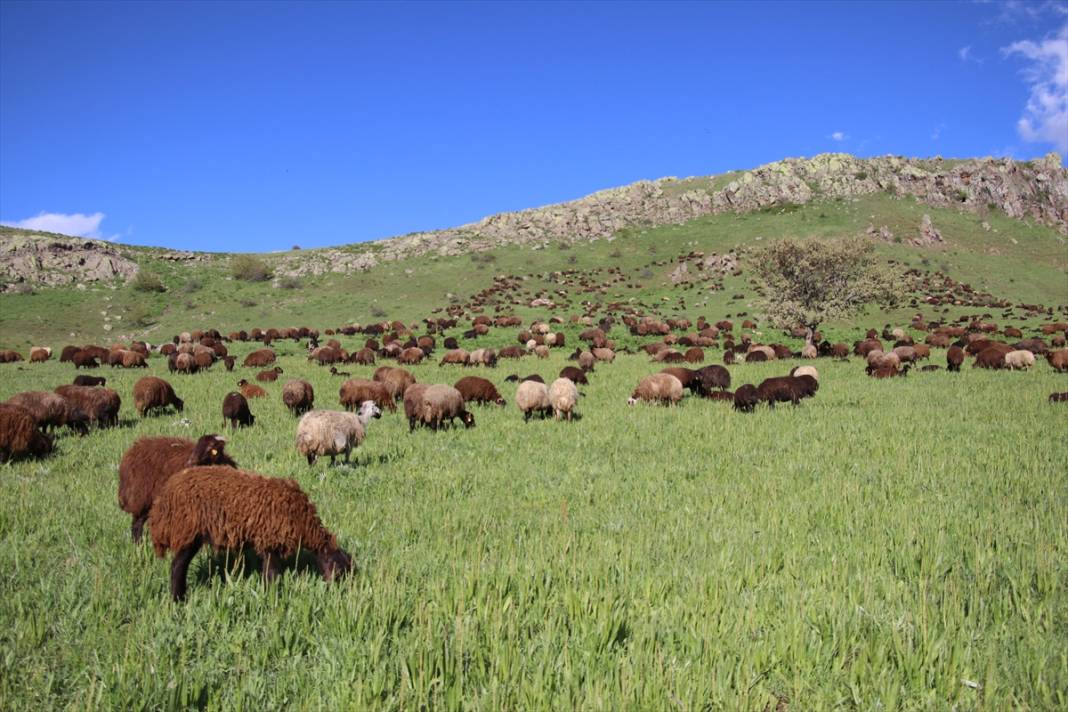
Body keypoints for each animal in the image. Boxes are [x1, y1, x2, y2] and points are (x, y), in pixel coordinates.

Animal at [148, 467, 350, 602]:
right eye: (340, 571)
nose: (341, 595)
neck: (302, 520)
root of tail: (164, 497)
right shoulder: (270, 540)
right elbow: (272, 573)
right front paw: (272, 597)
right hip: (187, 531)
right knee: (177, 566)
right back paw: (178, 599)